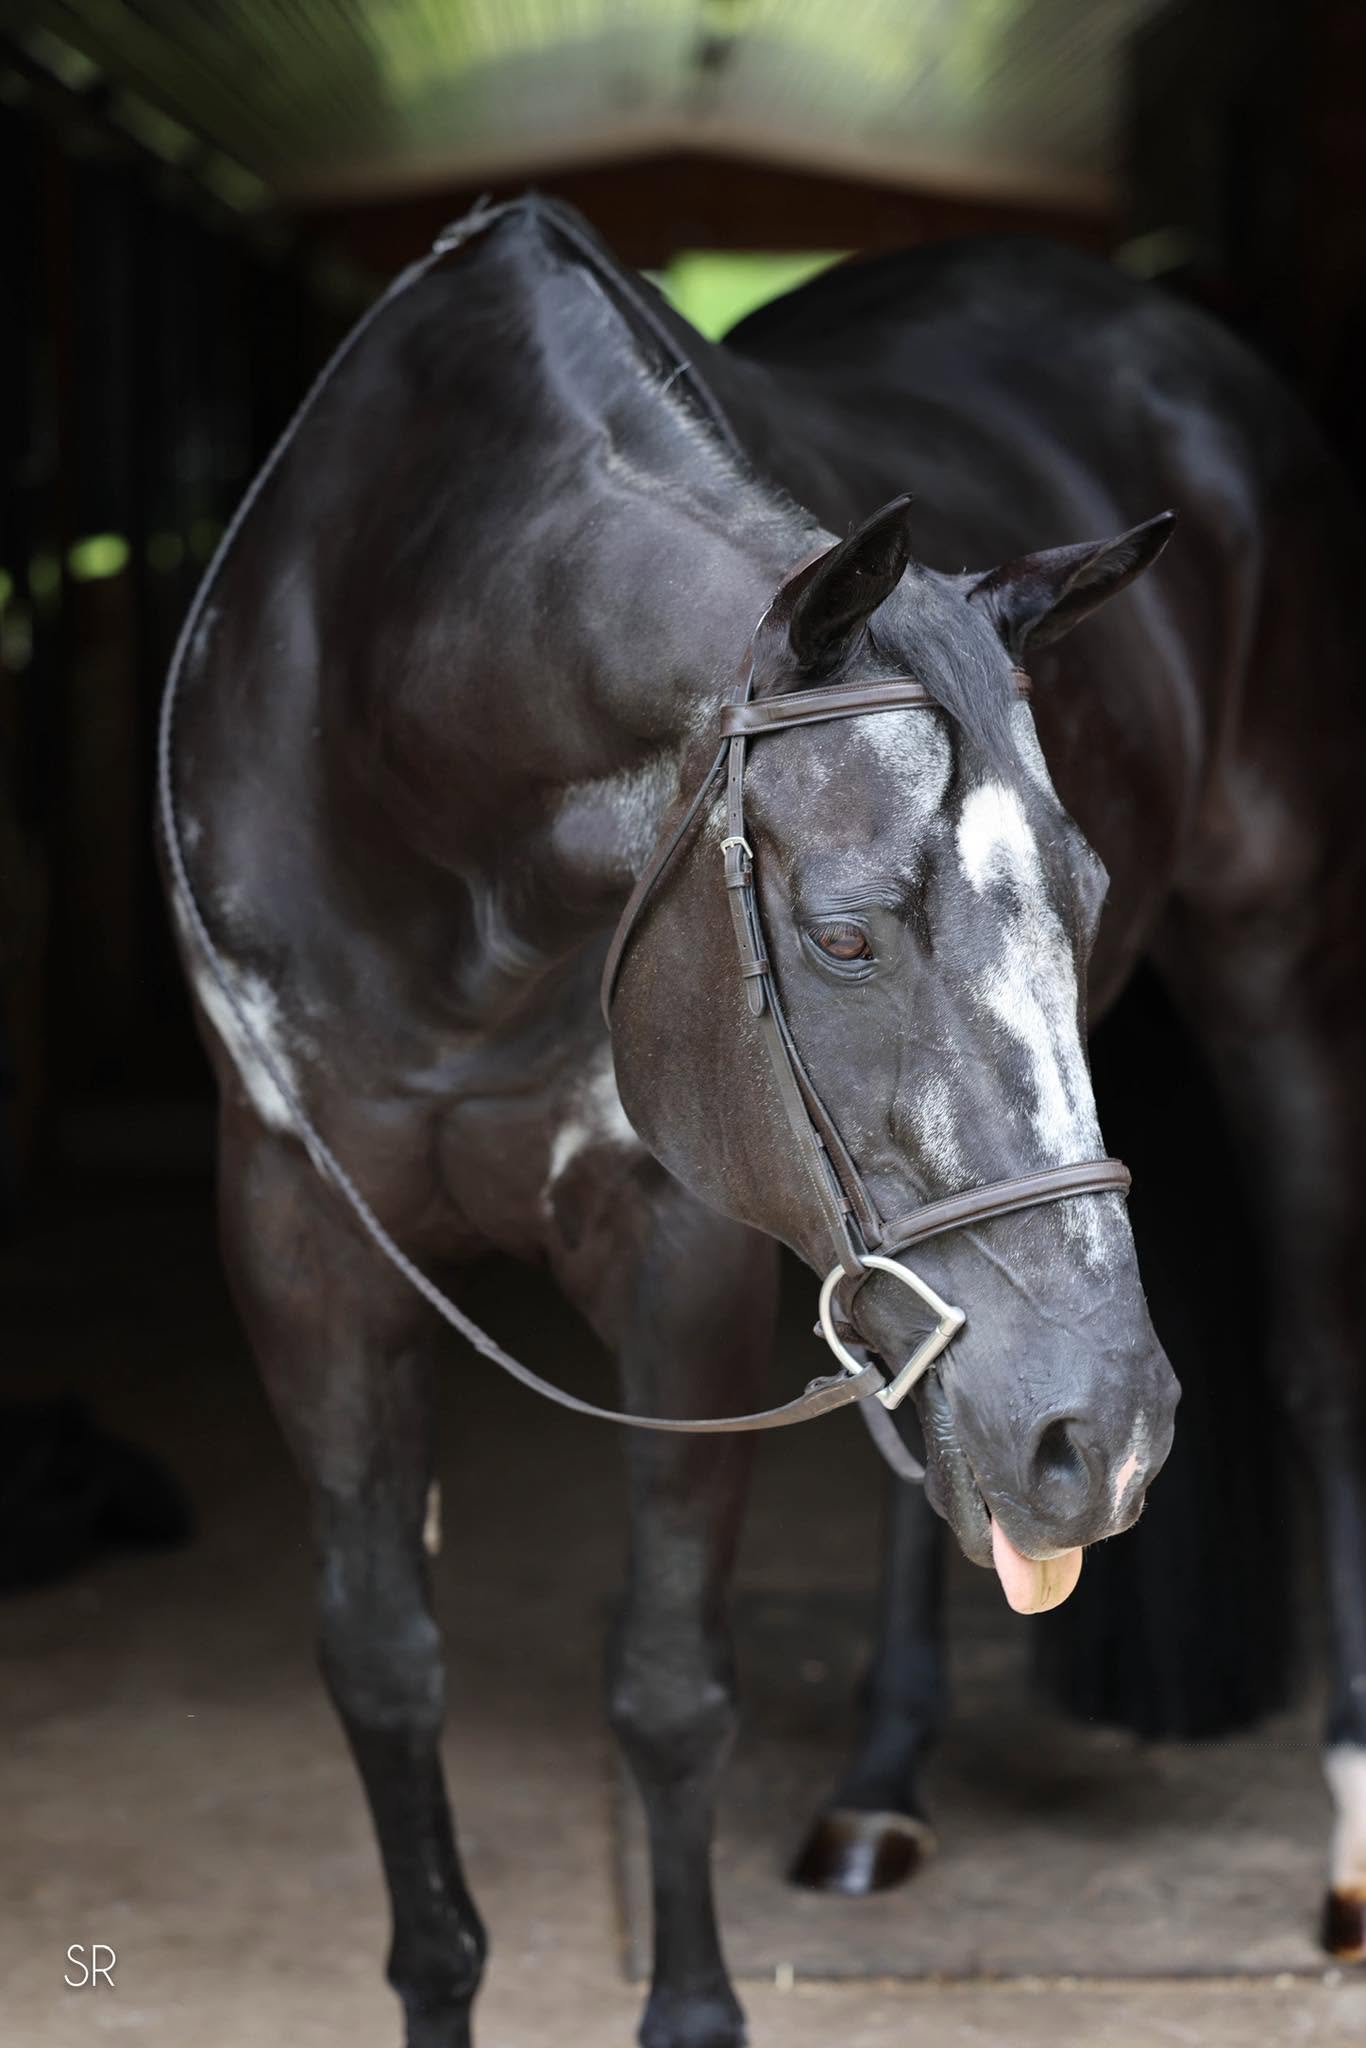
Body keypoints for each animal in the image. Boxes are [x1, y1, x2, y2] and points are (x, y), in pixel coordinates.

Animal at [160, 194, 1366, 2047]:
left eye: (1085, 896)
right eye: (845, 935)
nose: (1112, 1434)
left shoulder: (680, 1250)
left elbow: (668, 1682)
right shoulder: (297, 1228)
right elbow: (379, 1666)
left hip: (1273, 960)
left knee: (1311, 1368)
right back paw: (879, 1780)